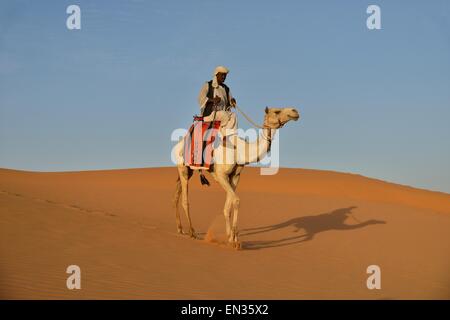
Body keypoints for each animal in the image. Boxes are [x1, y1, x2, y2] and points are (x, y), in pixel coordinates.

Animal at [172, 106, 298, 249]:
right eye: (277, 111)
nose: (295, 111)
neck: (240, 151)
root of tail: (178, 144)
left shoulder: (235, 176)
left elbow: (227, 207)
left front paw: (230, 238)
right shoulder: (220, 175)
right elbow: (236, 200)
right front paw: (235, 240)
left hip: (188, 170)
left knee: (176, 195)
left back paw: (180, 229)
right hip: (183, 168)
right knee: (185, 200)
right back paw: (192, 232)